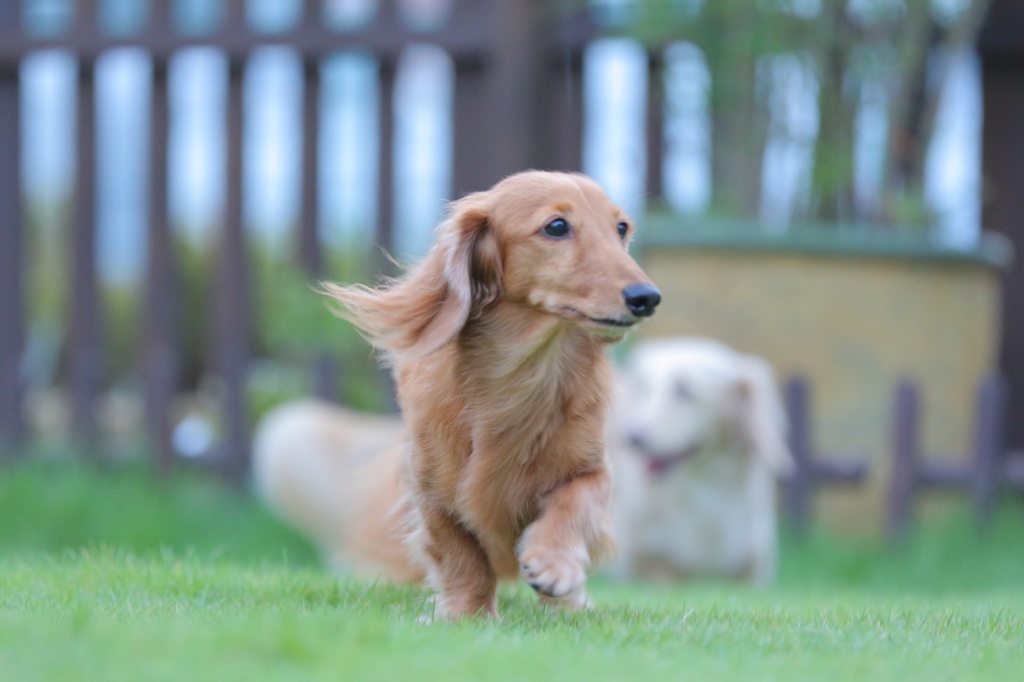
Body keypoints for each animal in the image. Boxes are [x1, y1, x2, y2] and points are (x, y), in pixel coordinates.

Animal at [319, 171, 659, 614]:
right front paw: (467, 613)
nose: (646, 298)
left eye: (621, 228)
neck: (525, 375)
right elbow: (461, 555)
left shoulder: (593, 468)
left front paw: (554, 565)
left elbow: (575, 502)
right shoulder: (431, 492)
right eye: (556, 226)